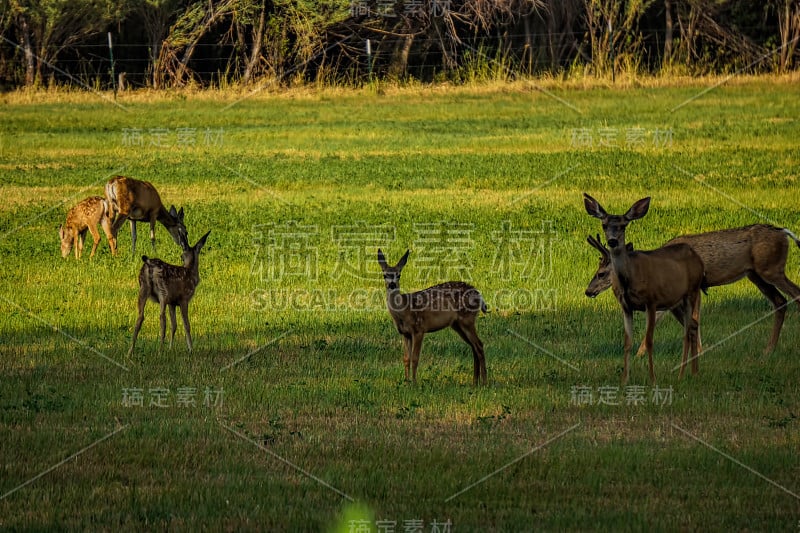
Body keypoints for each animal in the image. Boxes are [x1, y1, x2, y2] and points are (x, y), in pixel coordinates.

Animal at [376, 247, 488, 384]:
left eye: (398, 275)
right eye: (385, 275)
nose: (392, 285)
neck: (404, 312)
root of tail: (479, 295)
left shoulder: (419, 329)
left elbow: (415, 358)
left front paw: (414, 382)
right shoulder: (405, 333)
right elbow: (406, 358)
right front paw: (406, 381)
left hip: (467, 319)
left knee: (479, 345)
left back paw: (484, 382)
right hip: (457, 325)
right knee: (474, 346)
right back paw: (474, 382)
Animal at [580, 193, 708, 384]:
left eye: (623, 225)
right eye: (604, 224)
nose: (612, 241)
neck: (629, 278)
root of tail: (698, 259)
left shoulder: (651, 301)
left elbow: (649, 340)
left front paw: (652, 378)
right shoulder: (626, 306)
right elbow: (627, 342)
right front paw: (624, 380)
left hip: (691, 293)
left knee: (688, 329)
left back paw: (683, 373)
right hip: (676, 303)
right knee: (691, 326)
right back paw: (692, 372)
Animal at [580, 223, 800, 354]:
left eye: (601, 273)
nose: (588, 291)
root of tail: (784, 232)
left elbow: (688, 317)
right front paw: (640, 353)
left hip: (771, 269)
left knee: (795, 295)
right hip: (755, 274)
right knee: (780, 301)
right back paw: (768, 350)